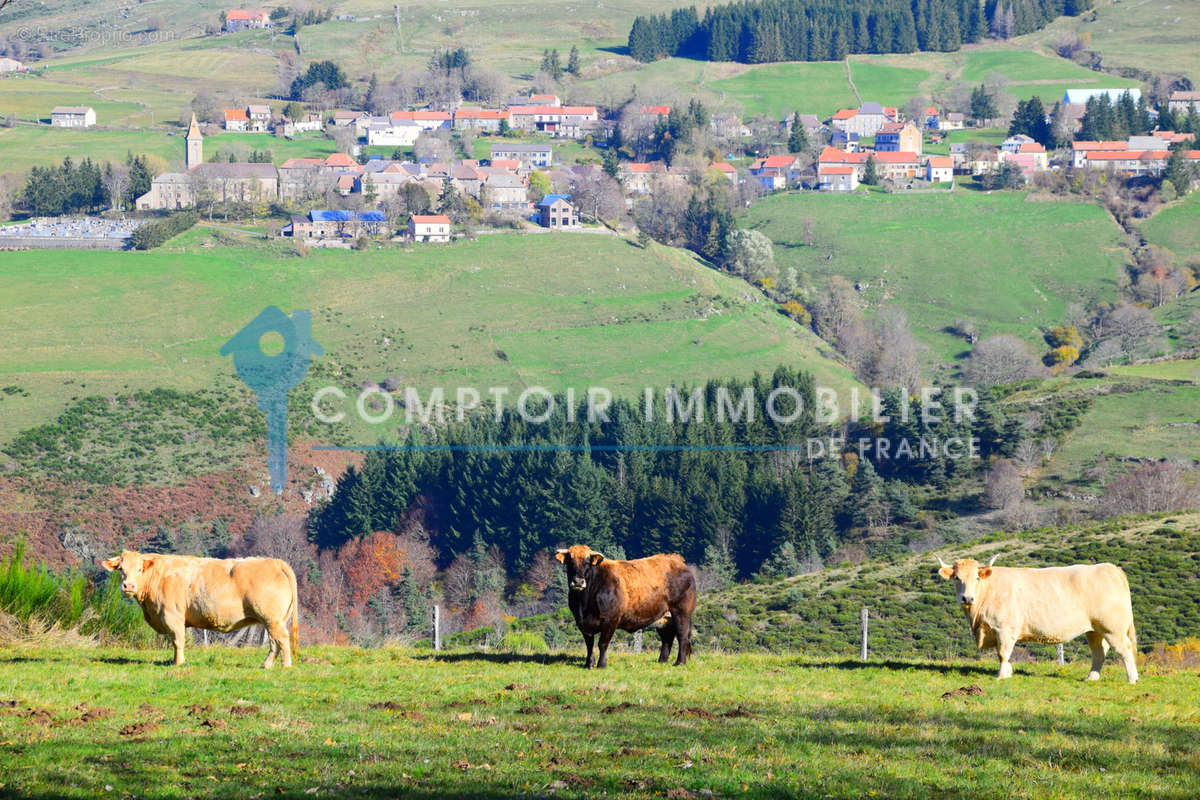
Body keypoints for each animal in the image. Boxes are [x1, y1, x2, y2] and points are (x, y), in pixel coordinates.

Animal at [103, 551, 300, 671]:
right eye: (121, 569)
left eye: (139, 569)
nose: (128, 586)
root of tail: (273, 561)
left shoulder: (173, 616)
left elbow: (178, 641)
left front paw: (178, 663)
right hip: (273, 620)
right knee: (274, 643)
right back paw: (266, 665)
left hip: (272, 619)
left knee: (282, 640)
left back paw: (286, 666)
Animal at [556, 544, 700, 671]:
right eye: (570, 562)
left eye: (587, 562)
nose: (578, 581)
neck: (584, 603)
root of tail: (676, 560)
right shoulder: (582, 622)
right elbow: (589, 644)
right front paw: (588, 664)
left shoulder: (611, 620)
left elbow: (602, 644)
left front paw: (601, 665)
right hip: (664, 618)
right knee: (667, 639)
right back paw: (662, 661)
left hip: (682, 612)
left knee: (682, 636)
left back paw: (679, 662)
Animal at [931, 556, 1137, 681]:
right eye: (956, 578)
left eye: (977, 578)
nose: (967, 598)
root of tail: (1110, 567)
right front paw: (1008, 672)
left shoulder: (1005, 629)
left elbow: (1003, 653)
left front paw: (1001, 675)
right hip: (1094, 629)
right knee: (1099, 652)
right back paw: (1091, 678)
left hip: (1113, 628)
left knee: (1125, 649)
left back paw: (1132, 679)